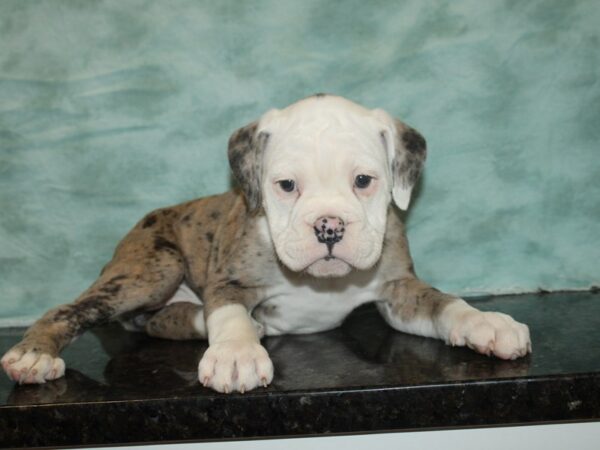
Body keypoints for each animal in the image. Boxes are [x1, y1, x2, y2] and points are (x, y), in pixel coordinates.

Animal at [2, 96, 532, 394]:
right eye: (286, 185)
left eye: (364, 181)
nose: (328, 227)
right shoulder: (228, 282)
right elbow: (230, 313)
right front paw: (236, 354)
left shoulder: (399, 291)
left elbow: (444, 304)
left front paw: (486, 323)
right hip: (152, 268)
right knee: (72, 311)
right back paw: (33, 355)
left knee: (156, 322)